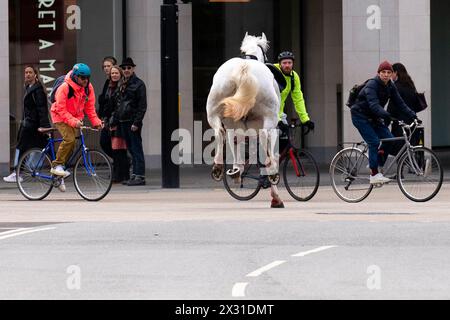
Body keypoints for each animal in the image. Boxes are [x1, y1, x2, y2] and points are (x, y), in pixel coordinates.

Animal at [206, 31, 284, 208]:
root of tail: (244, 67)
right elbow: (269, 152)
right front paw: (276, 197)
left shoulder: (237, 127)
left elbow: (236, 144)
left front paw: (237, 169)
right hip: (268, 119)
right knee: (265, 137)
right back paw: (272, 172)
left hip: (215, 111)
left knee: (220, 133)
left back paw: (219, 167)